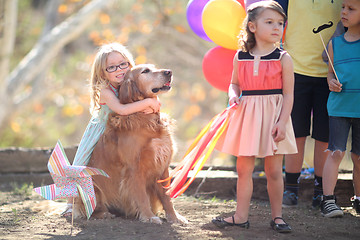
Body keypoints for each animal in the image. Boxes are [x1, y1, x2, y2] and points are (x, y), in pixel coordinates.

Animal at [72, 64, 187, 225]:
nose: (168, 72)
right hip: (91, 186)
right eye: (145, 71)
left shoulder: (163, 166)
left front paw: (174, 217)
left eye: (154, 67)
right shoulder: (134, 168)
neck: (147, 118)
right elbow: (141, 196)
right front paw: (149, 217)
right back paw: (104, 214)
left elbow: (167, 196)